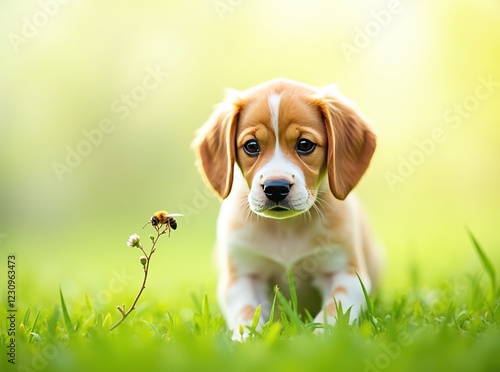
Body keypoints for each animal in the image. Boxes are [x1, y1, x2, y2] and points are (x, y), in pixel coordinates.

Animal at [193, 78, 380, 340]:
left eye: (305, 145)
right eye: (251, 146)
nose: (275, 188)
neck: (285, 229)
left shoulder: (345, 273)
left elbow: (334, 311)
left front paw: (321, 337)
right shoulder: (242, 277)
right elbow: (246, 313)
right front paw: (244, 338)